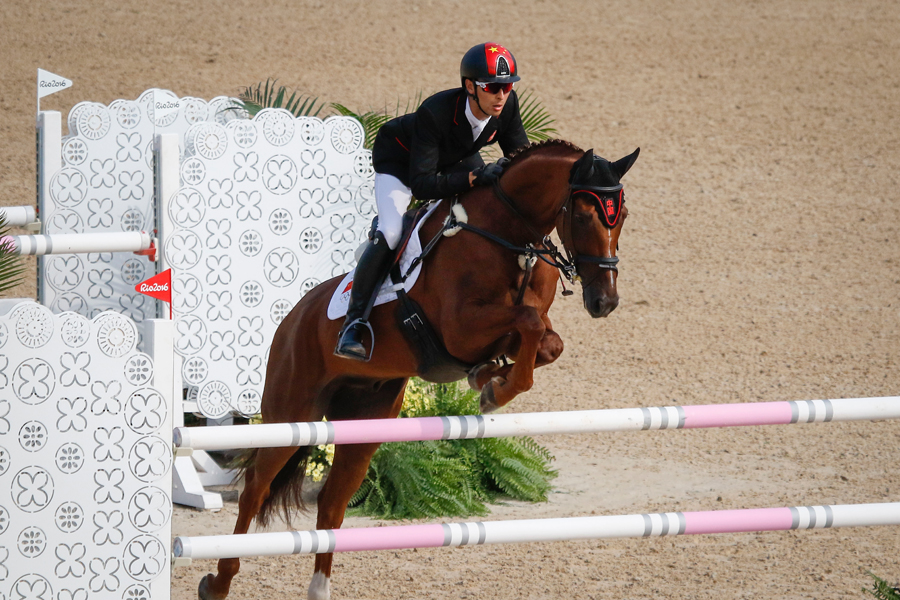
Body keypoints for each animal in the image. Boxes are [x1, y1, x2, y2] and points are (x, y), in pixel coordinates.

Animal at [199, 139, 640, 600]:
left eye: (623, 215)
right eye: (584, 215)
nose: (605, 301)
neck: (511, 236)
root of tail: (291, 318)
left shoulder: (512, 328)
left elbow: (545, 341)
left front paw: (489, 379)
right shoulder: (461, 328)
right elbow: (529, 325)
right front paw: (493, 389)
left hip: (364, 421)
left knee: (332, 503)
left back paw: (319, 587)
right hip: (291, 413)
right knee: (255, 487)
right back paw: (218, 581)